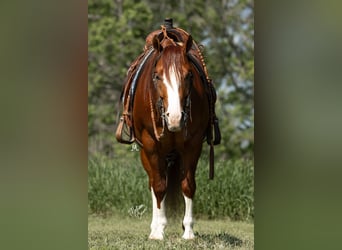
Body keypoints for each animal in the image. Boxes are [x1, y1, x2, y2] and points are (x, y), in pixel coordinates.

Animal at [131, 33, 210, 240]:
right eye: (157, 76)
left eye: (189, 75)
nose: (175, 118)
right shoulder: (150, 146)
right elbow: (159, 186)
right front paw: (159, 232)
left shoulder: (193, 145)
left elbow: (188, 185)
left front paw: (188, 231)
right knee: (154, 183)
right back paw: (155, 227)